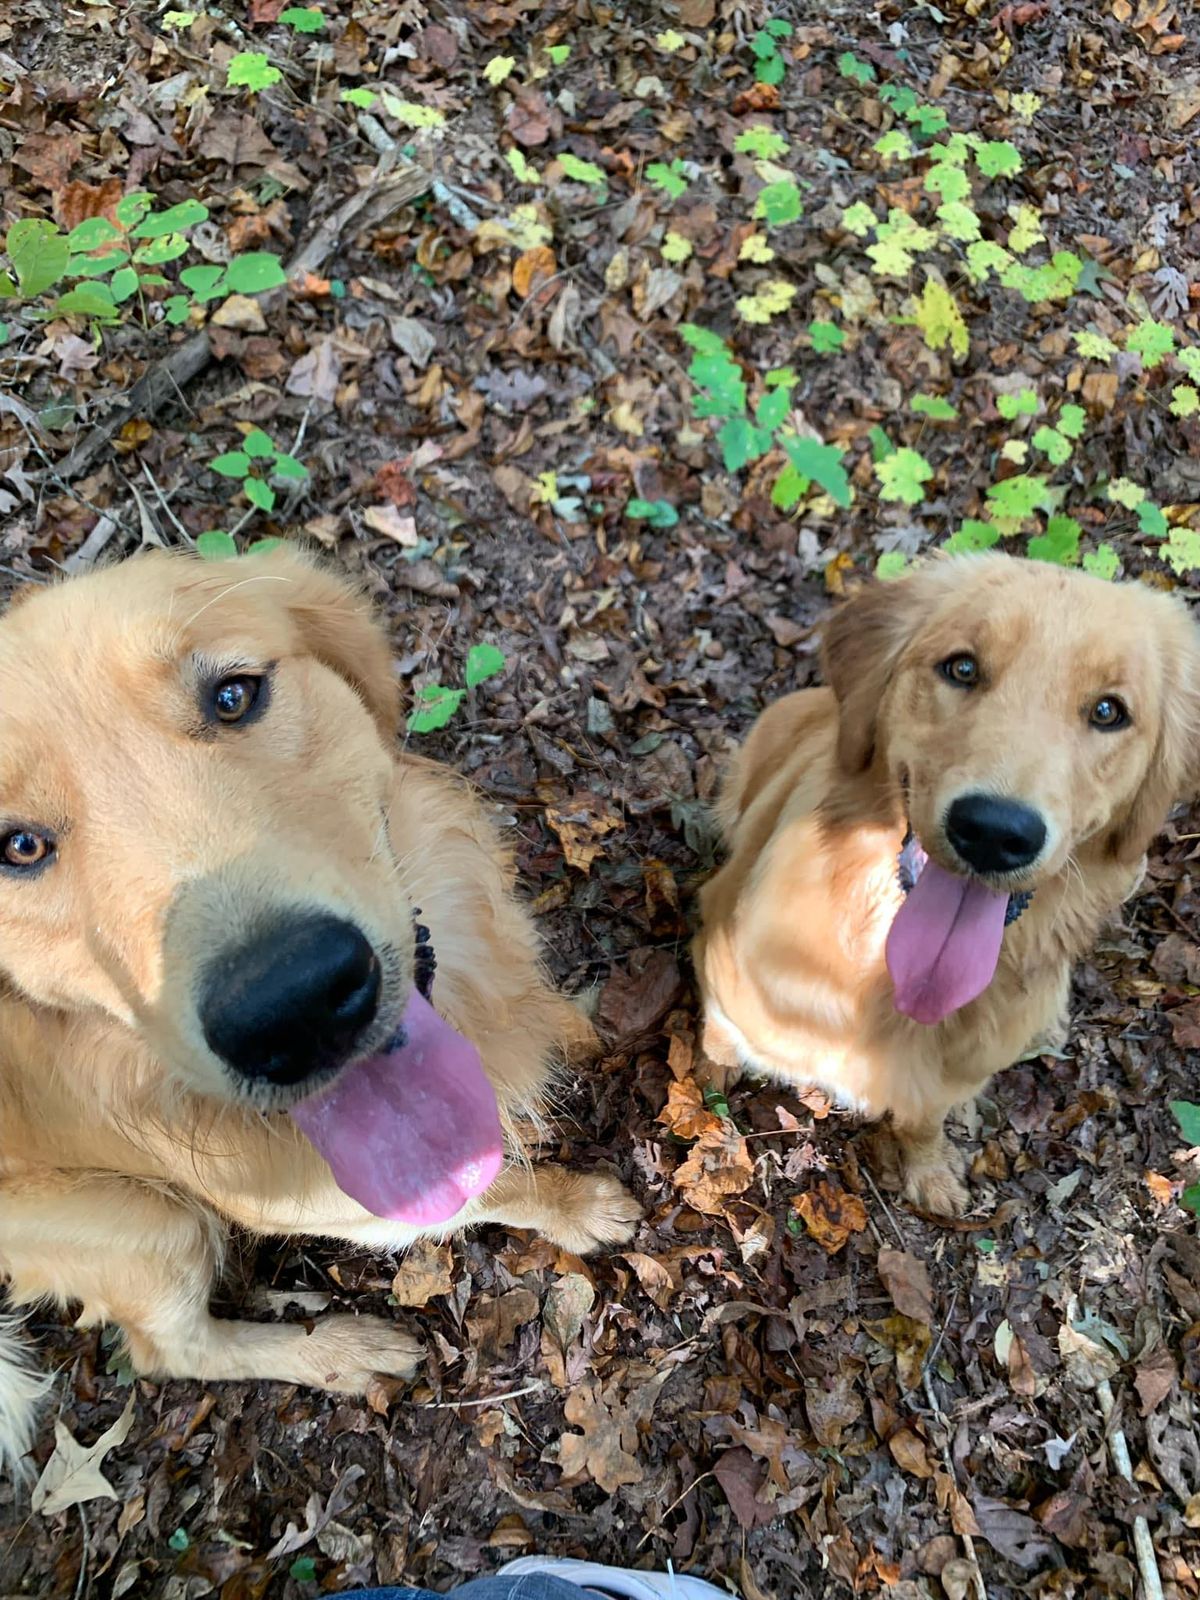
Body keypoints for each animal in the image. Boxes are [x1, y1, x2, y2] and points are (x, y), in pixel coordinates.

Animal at [0, 550, 640, 1472]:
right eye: (18, 847)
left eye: (234, 694)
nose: (292, 1005)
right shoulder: (343, 1202)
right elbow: (499, 1186)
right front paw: (580, 1207)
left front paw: (586, 1023)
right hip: (143, 1220)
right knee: (170, 1350)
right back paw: (341, 1350)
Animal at [694, 550, 1200, 1209]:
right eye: (961, 667)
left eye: (1109, 710)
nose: (993, 831)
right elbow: (719, 1037)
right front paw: (707, 1083)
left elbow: (924, 1119)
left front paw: (930, 1170)